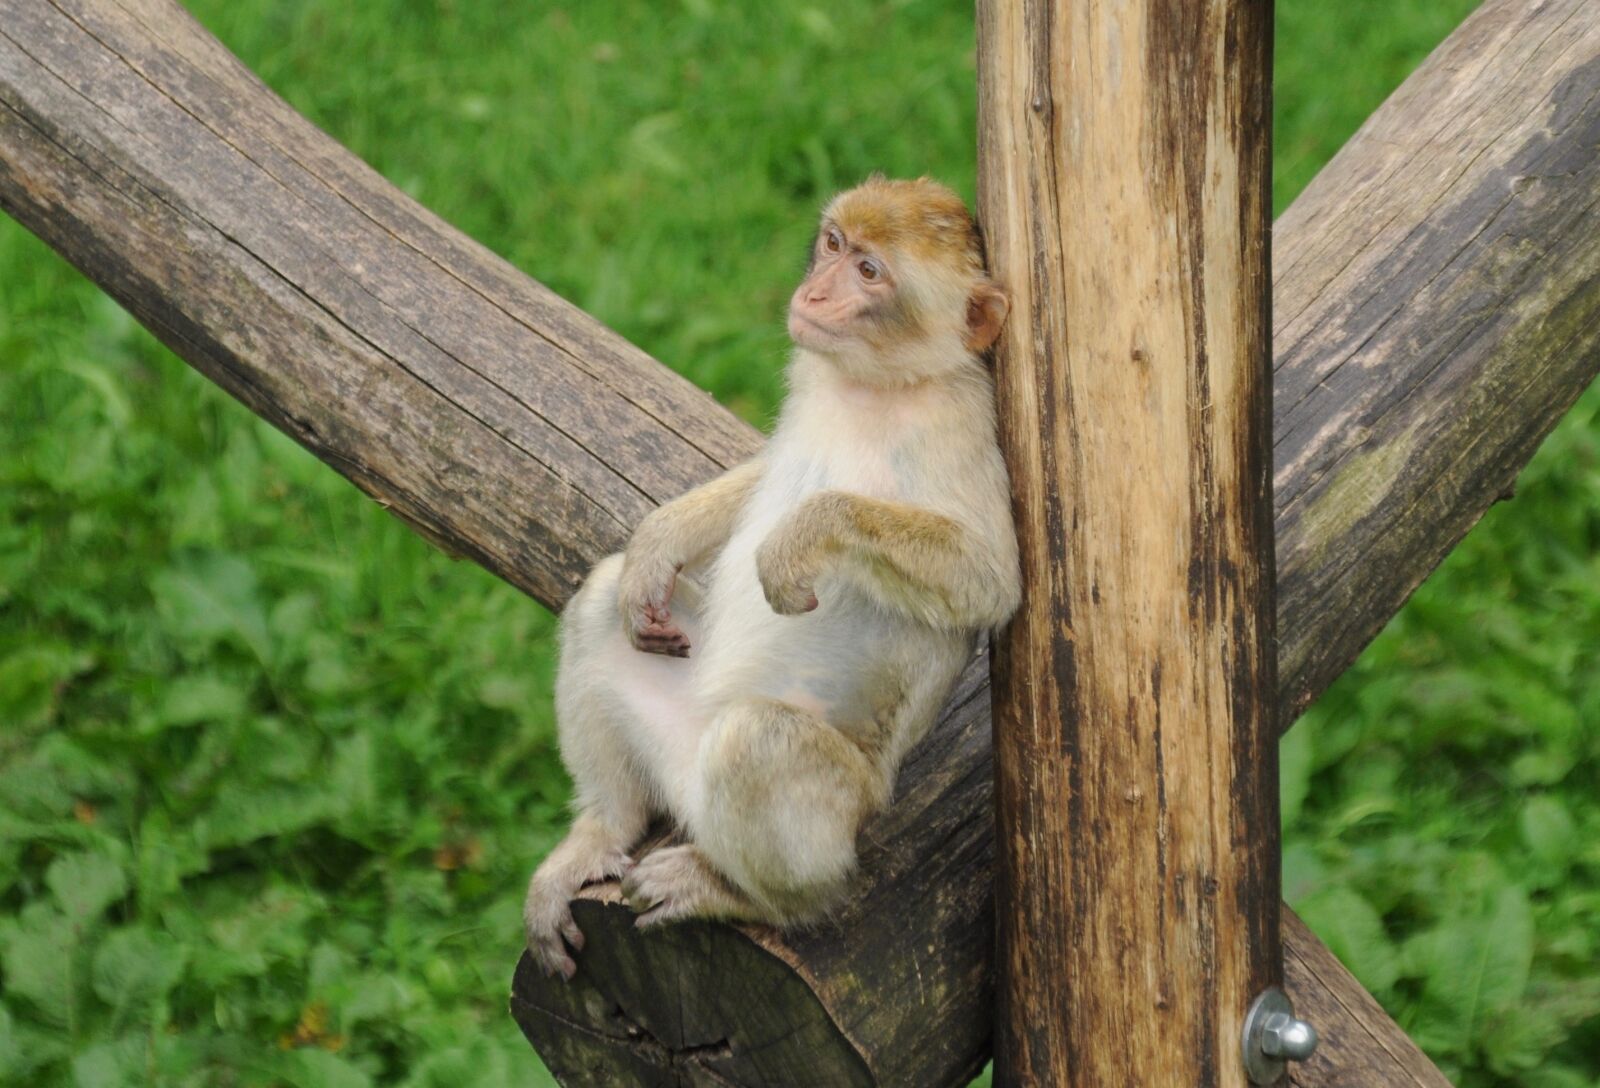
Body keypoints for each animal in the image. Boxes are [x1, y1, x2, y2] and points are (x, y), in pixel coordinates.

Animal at [523, 175, 1021, 979]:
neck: (874, 385)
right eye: (834, 245)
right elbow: (757, 478)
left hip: (842, 806)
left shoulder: (961, 423)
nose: (814, 293)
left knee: (760, 742)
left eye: (870, 273)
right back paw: (604, 830)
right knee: (602, 603)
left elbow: (991, 580)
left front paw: (806, 533)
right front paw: (660, 541)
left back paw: (751, 897)